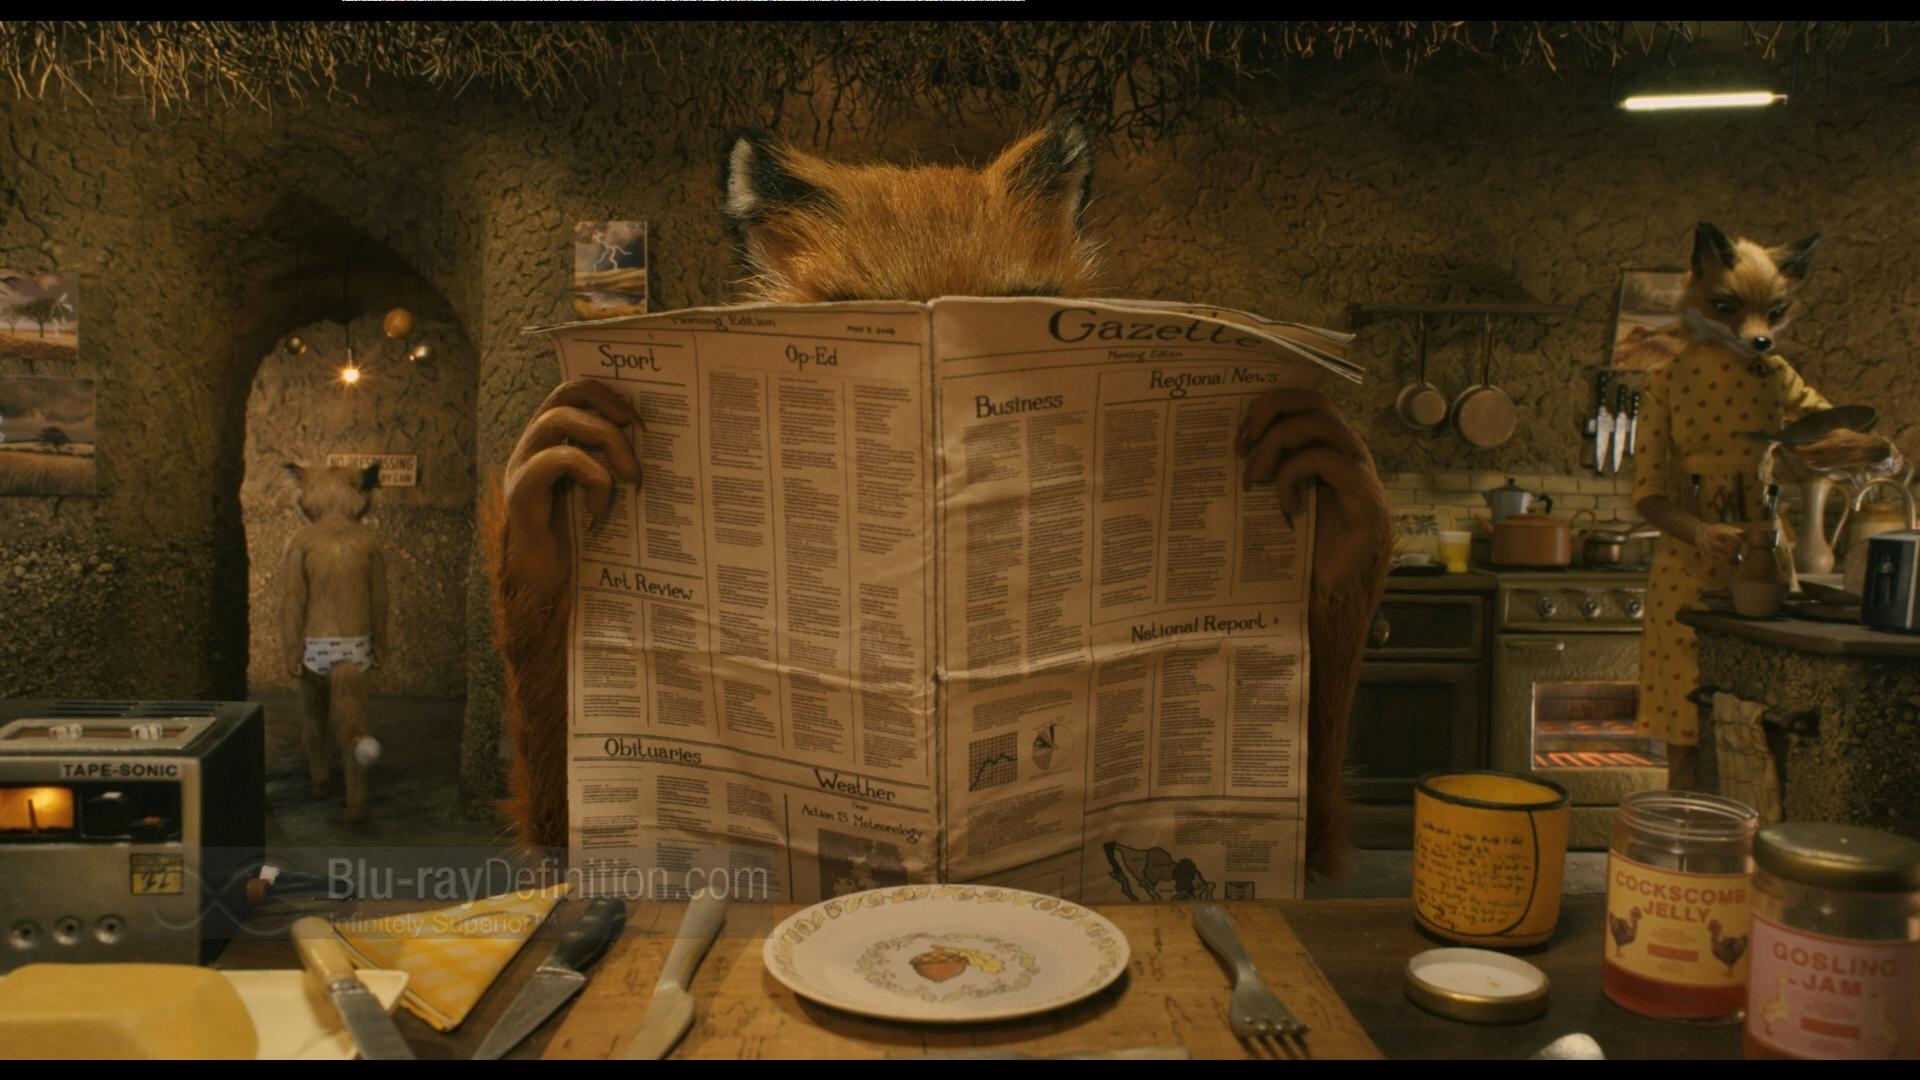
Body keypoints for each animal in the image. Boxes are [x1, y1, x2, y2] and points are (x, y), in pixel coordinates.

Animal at [281, 462, 389, 823]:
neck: (335, 519)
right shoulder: (376, 554)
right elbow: (381, 599)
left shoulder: (295, 549)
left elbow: (291, 603)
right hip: (359, 671)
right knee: (353, 727)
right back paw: (356, 809)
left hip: (313, 673)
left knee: (315, 726)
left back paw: (321, 785)